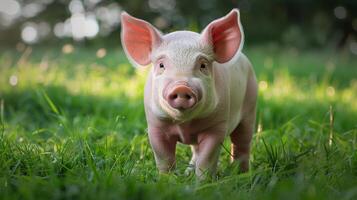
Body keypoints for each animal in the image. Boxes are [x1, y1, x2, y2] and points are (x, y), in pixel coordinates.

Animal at [120, 8, 256, 177]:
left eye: (203, 65)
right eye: (161, 65)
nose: (181, 87)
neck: (185, 125)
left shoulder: (217, 126)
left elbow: (206, 159)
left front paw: (203, 181)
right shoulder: (155, 126)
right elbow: (164, 158)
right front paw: (167, 179)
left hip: (250, 107)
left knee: (241, 142)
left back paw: (241, 173)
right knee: (197, 151)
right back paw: (187, 173)